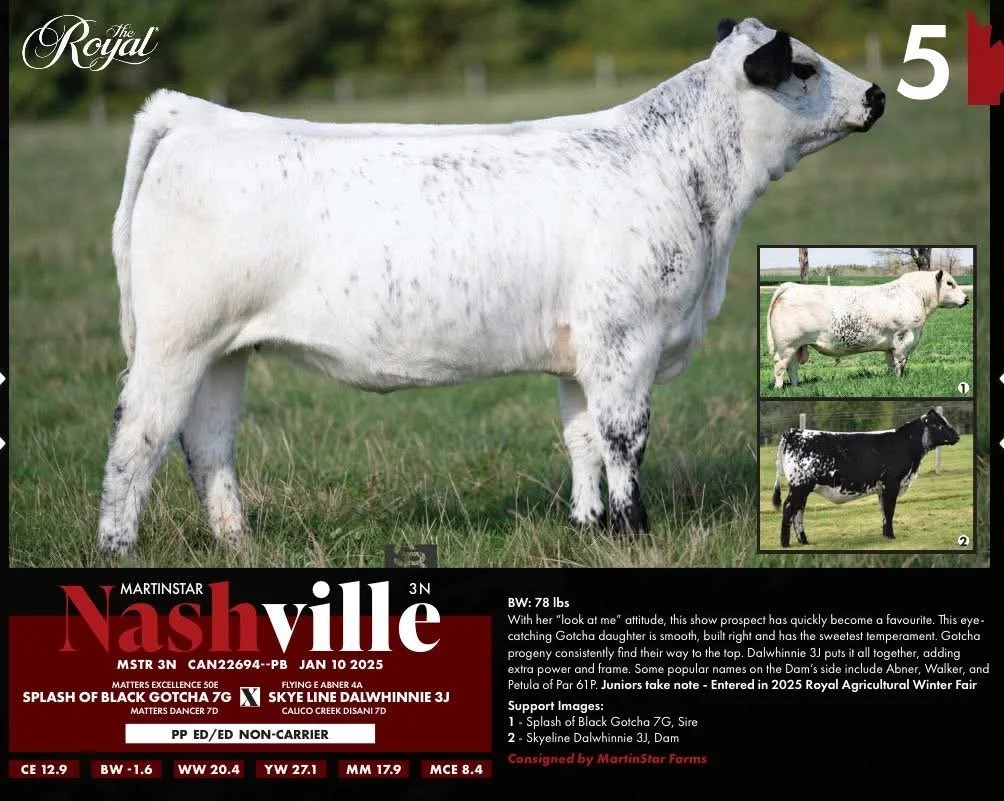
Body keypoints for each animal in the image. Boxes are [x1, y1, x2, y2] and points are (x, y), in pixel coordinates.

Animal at [98, 17, 885, 554]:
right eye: (802, 67)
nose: (877, 94)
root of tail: (196, 115)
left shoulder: (579, 352)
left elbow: (580, 439)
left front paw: (590, 528)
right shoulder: (625, 342)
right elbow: (623, 440)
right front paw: (636, 532)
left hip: (223, 351)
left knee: (208, 444)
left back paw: (240, 542)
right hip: (173, 344)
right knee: (137, 441)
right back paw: (117, 549)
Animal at [766, 270, 969, 388]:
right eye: (950, 283)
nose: (966, 299)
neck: (916, 295)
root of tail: (790, 286)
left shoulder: (890, 345)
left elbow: (891, 363)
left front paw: (892, 379)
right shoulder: (904, 337)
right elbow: (901, 362)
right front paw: (900, 380)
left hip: (798, 346)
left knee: (792, 366)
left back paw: (795, 386)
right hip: (787, 344)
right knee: (780, 365)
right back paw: (779, 388)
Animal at [770, 409, 960, 548]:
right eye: (940, 425)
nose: (957, 436)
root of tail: (795, 431)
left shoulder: (882, 488)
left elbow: (883, 511)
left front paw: (885, 535)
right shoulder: (891, 484)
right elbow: (889, 510)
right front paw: (891, 536)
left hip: (802, 489)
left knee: (798, 511)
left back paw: (804, 541)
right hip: (799, 486)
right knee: (789, 508)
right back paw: (785, 543)